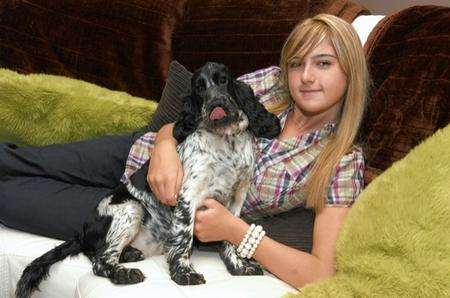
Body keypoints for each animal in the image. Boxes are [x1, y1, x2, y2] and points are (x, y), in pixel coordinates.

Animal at [16, 61, 282, 296]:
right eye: (199, 87)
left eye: (223, 80)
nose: (216, 103)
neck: (226, 141)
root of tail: (83, 233)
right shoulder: (187, 195)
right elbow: (184, 238)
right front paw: (184, 274)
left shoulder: (237, 199)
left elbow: (229, 239)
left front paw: (238, 266)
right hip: (131, 209)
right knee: (101, 260)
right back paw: (124, 273)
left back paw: (130, 255)